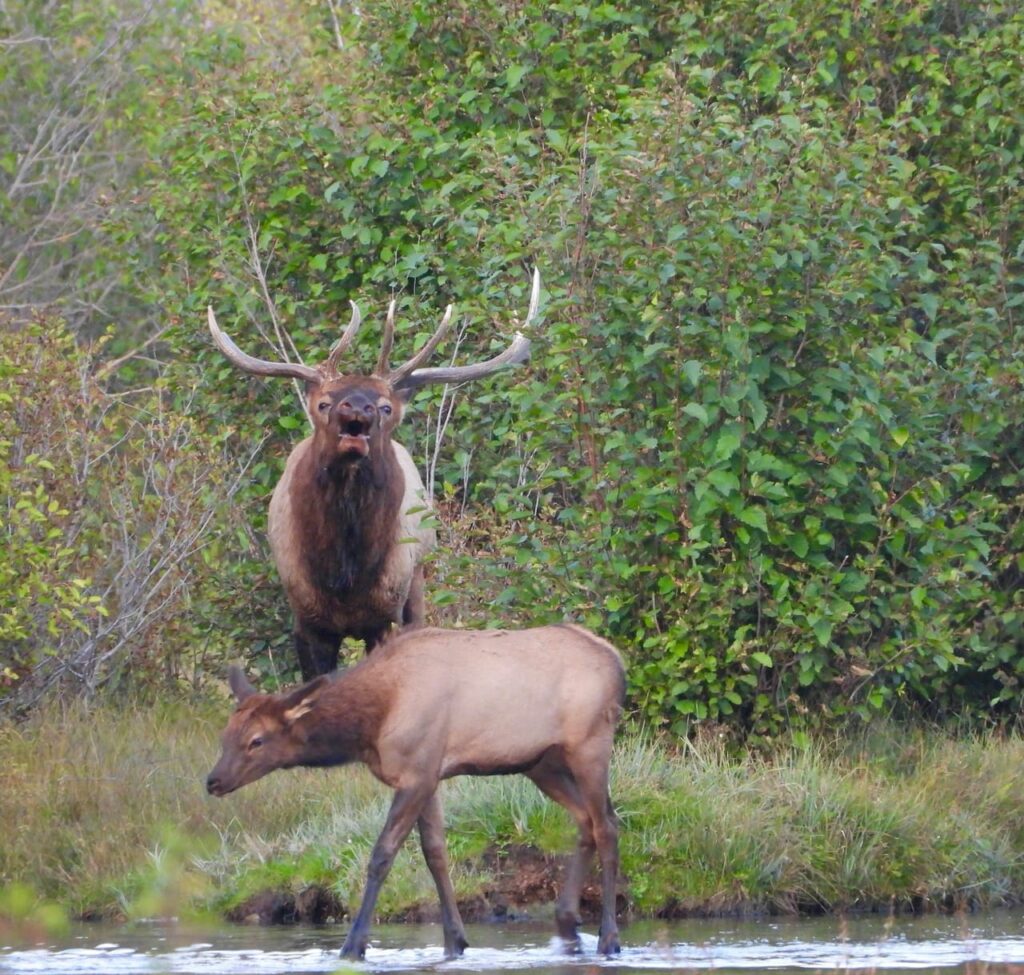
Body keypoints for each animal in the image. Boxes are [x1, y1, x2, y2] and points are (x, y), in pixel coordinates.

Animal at [203, 622, 622, 958]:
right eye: (225, 736)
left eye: (256, 741)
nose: (213, 780)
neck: (372, 723)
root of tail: (616, 660)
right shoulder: (427, 774)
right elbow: (435, 852)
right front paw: (455, 941)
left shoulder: (417, 773)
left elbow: (382, 854)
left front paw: (353, 945)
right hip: (541, 763)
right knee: (586, 821)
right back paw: (567, 924)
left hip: (590, 745)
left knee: (607, 826)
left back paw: (608, 938)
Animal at [209, 270, 544, 680]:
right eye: (323, 403)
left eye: (385, 406)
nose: (356, 406)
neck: (343, 575)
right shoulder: (306, 617)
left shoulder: (385, 614)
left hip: (417, 583)